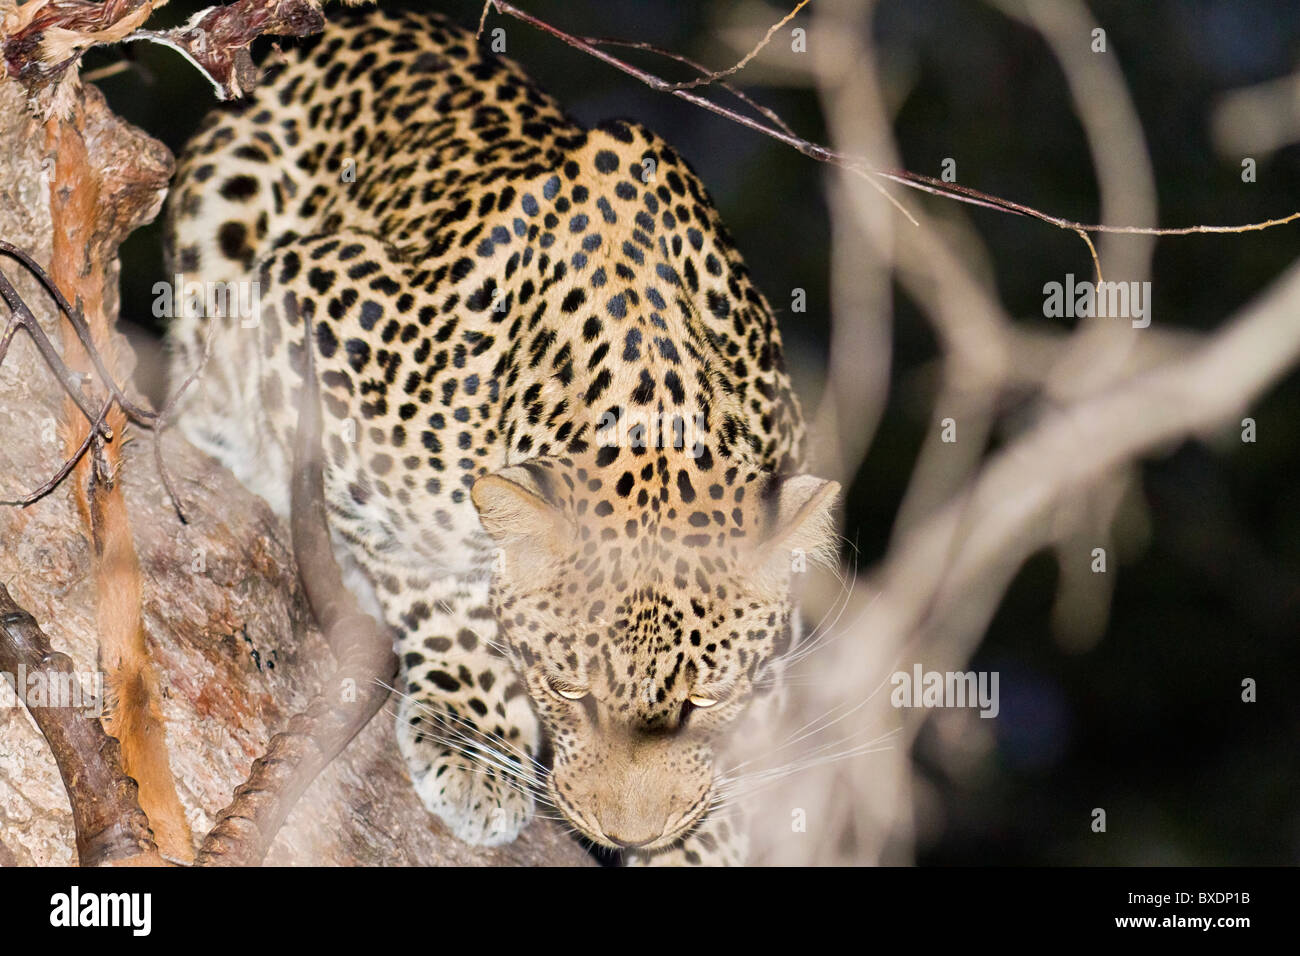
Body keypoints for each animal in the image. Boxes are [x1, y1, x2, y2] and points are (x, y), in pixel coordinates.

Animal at [165, 3, 832, 868]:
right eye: (567, 688)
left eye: (703, 698)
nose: (627, 834)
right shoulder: (314, 309)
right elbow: (432, 576)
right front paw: (472, 729)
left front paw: (707, 834)